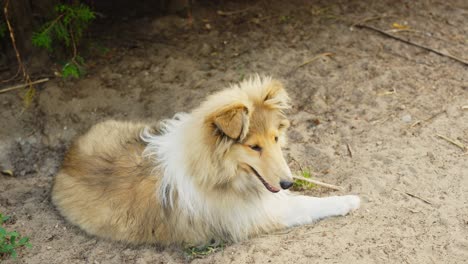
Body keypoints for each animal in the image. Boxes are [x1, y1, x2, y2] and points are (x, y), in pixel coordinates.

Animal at [51, 76, 360, 245]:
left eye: (275, 138)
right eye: (253, 147)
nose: (287, 182)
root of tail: (66, 160)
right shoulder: (254, 215)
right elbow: (306, 204)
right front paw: (349, 200)